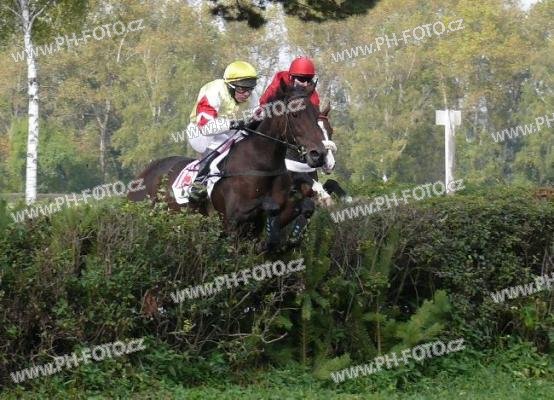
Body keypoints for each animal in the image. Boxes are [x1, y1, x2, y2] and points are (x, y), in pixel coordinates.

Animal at [128, 81, 327, 251]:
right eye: (294, 114)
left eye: (316, 115)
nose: (319, 154)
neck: (259, 164)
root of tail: (141, 176)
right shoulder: (233, 217)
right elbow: (269, 206)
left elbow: (305, 205)